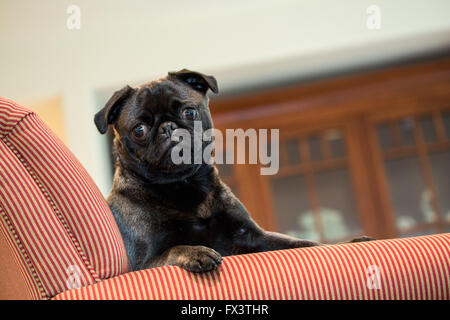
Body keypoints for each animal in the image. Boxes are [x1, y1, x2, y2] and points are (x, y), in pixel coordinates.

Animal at [94, 68, 372, 272]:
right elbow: (174, 249)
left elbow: (306, 244)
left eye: (189, 112)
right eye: (139, 130)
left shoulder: (254, 237)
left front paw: (349, 242)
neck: (184, 186)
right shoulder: (143, 263)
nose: (168, 127)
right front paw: (196, 251)